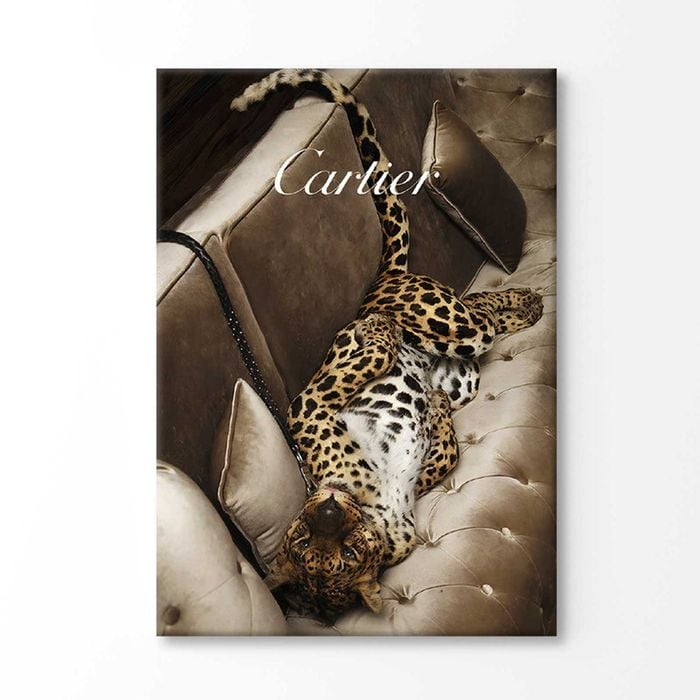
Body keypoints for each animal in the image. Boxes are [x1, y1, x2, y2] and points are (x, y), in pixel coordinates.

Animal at [230, 69, 543, 621]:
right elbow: (446, 452)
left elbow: (368, 359)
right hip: (461, 366)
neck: (374, 510)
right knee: (481, 314)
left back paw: (518, 301)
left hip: (444, 320)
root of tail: (382, 281)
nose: (328, 507)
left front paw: (375, 336)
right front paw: (434, 413)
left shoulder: (305, 407)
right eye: (312, 548)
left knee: (479, 307)